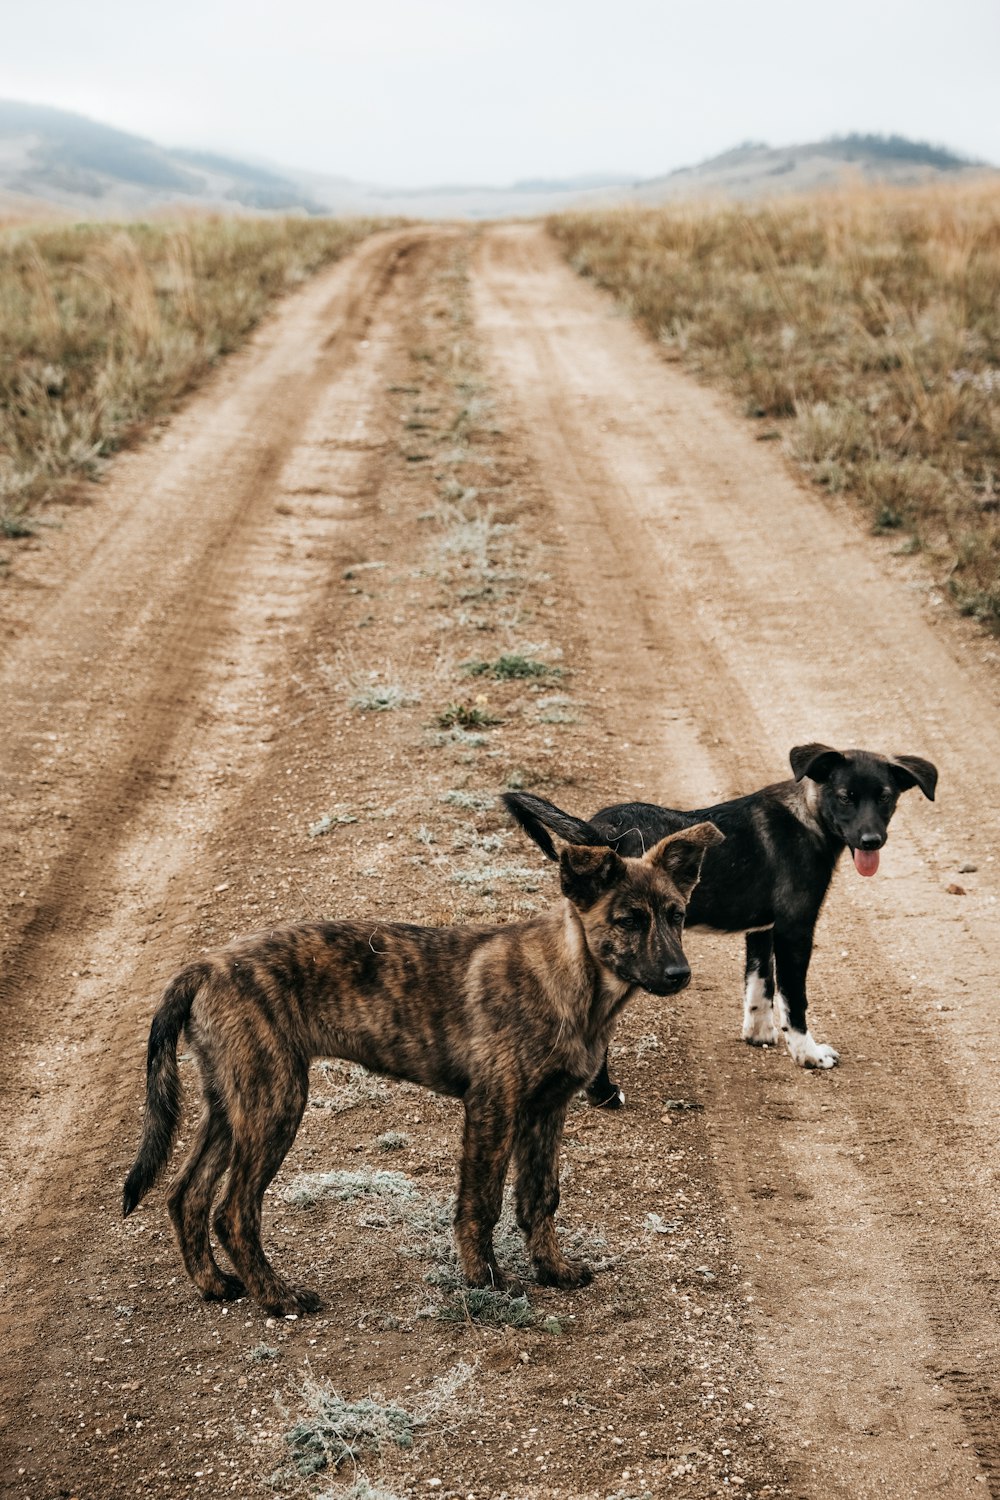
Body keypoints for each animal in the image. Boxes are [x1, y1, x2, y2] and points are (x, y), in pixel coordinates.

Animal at [122, 792, 719, 1320]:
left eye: (677, 915)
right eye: (628, 920)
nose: (679, 975)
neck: (572, 982)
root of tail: (204, 966)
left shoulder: (548, 1109)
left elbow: (540, 1196)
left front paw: (552, 1270)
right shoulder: (493, 1105)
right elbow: (481, 1202)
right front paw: (486, 1280)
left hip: (233, 1102)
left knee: (185, 1194)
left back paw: (215, 1284)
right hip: (275, 1103)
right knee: (234, 1212)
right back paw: (279, 1298)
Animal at [509, 744, 941, 1098]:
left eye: (885, 798)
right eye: (845, 797)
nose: (872, 841)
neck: (808, 816)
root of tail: (599, 834)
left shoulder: (763, 929)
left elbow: (759, 985)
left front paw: (760, 1034)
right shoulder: (795, 929)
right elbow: (794, 1000)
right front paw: (807, 1054)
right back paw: (602, 1094)